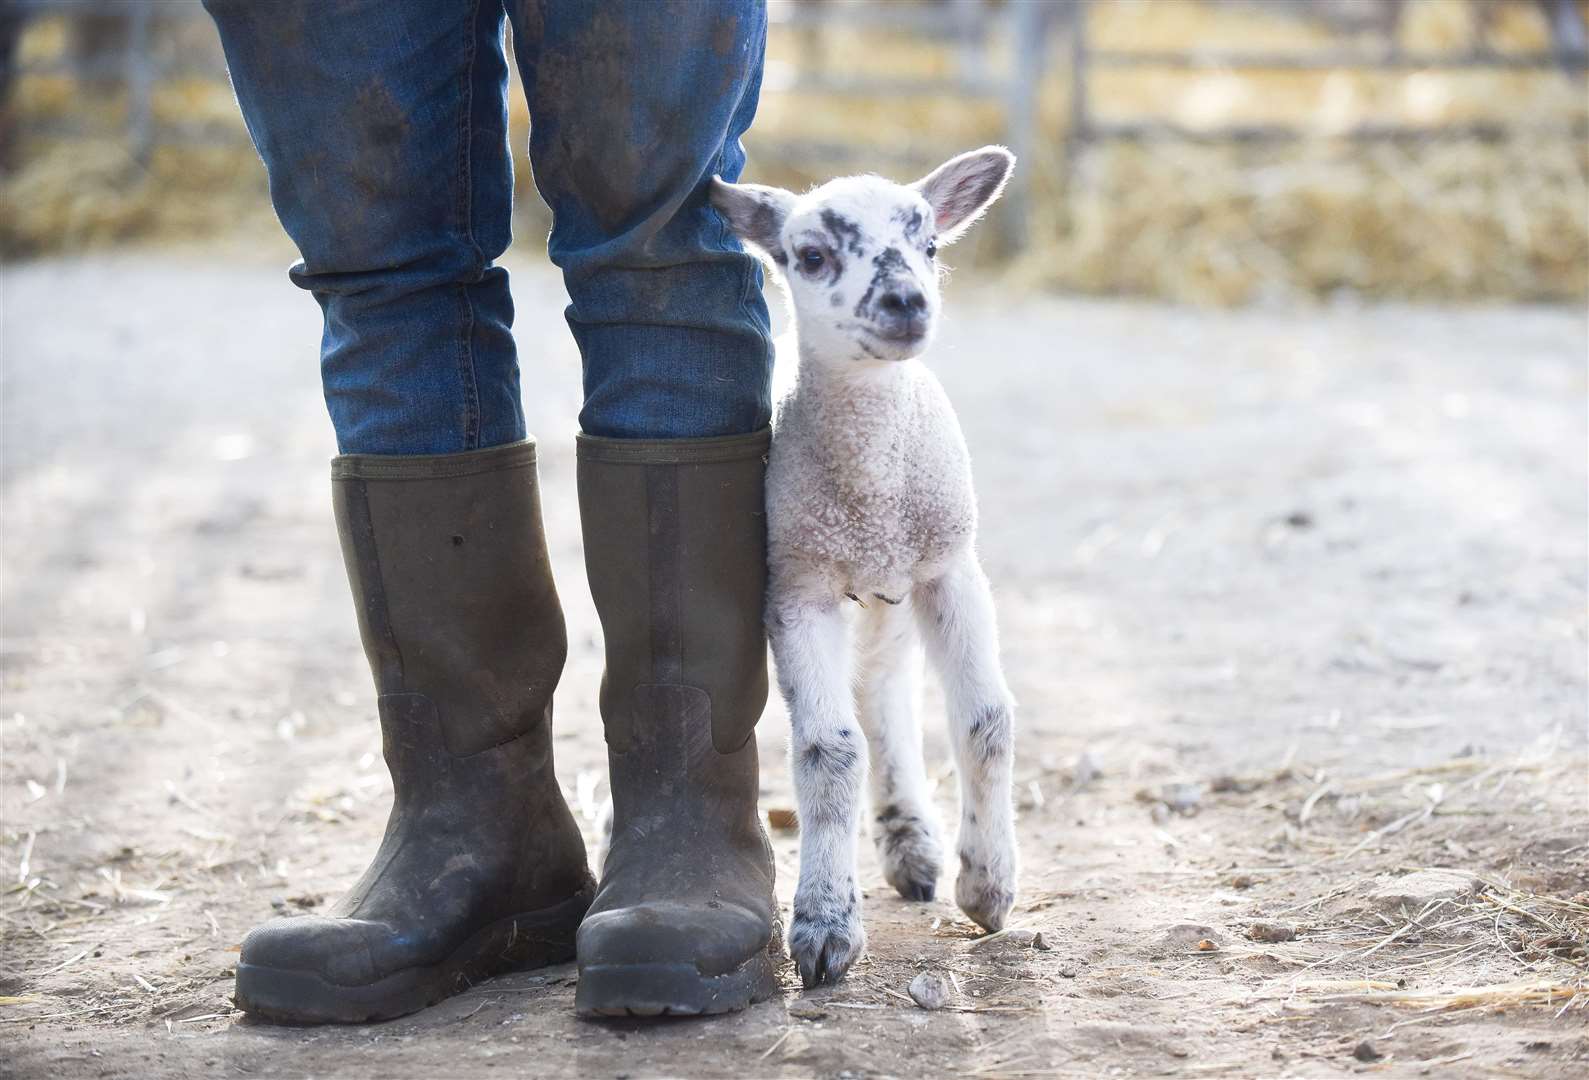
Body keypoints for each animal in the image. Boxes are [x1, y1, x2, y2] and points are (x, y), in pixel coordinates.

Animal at [715, 145, 1023, 984]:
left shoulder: (950, 569)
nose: (906, 301)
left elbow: (985, 722)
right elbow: (827, 751)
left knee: (883, 687)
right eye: (812, 256)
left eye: (932, 246)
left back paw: (912, 844)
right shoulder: (798, 587)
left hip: (898, 584)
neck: (873, 484)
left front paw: (987, 887)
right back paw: (904, 841)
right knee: (870, 697)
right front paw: (823, 924)